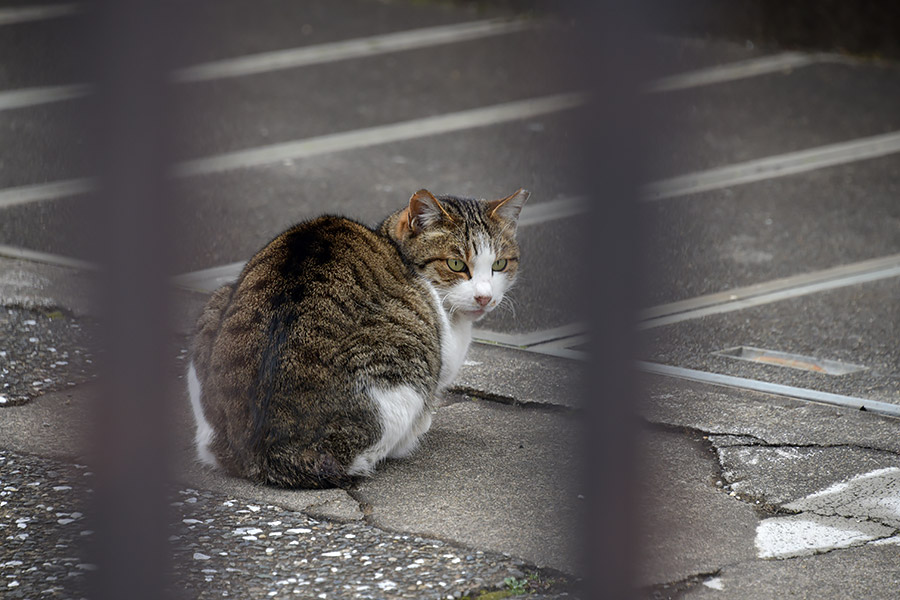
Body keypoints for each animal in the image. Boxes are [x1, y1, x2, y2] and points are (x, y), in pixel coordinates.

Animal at [188, 188, 528, 488]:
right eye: (456, 264)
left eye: (500, 264)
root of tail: (267, 450)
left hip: (215, 306)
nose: (485, 298)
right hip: (400, 370)